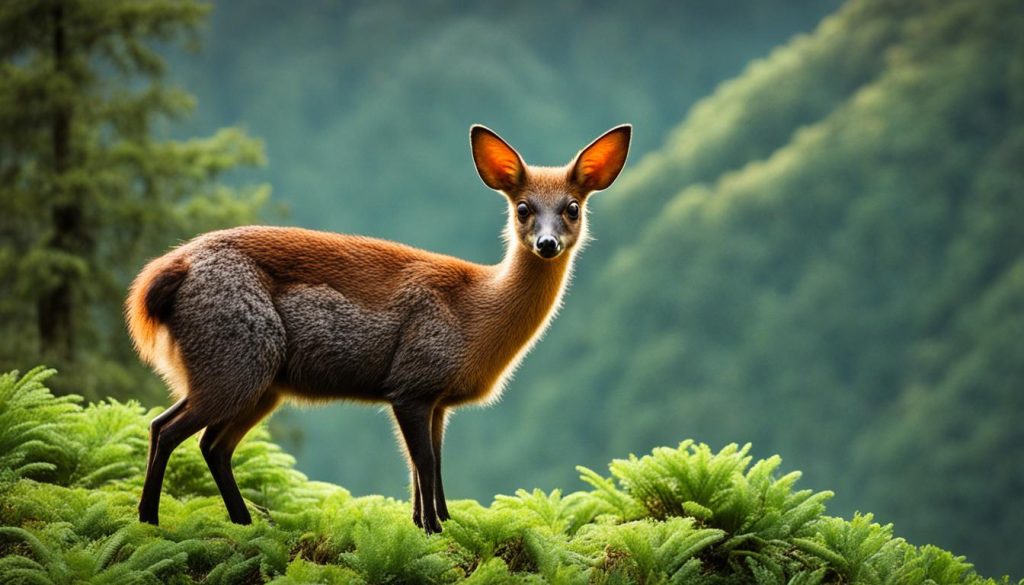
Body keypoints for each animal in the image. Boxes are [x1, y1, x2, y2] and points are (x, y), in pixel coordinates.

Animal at [123, 124, 626, 536]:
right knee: (169, 430)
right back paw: (150, 519)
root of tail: (166, 273)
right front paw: (432, 530)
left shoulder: (437, 399)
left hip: (253, 383)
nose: (547, 243)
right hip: (237, 358)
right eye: (522, 208)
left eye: (573, 208)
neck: (476, 314)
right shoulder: (411, 381)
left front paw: (439, 522)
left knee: (206, 441)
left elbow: (432, 467)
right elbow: (423, 463)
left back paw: (244, 522)